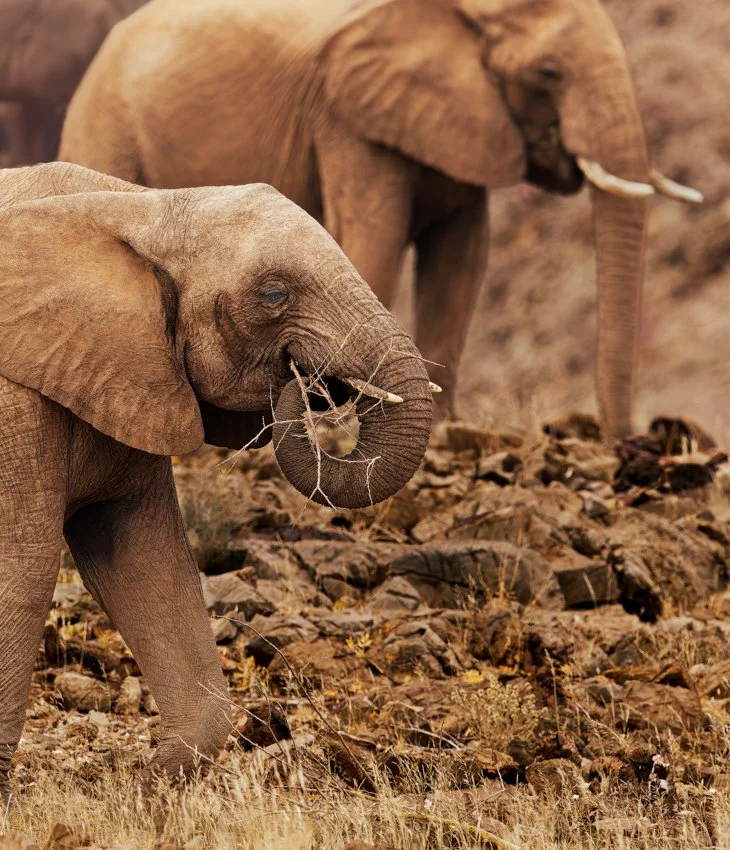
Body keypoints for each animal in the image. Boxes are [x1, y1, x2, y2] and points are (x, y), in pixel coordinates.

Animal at [0, 161, 432, 797]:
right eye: (274, 293)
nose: (305, 381)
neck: (141, 206)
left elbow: (144, 560)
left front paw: (150, 786)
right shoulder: (15, 404)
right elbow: (24, 571)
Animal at [59, 0, 702, 436]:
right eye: (549, 73)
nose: (627, 441)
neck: (463, 12)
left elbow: (461, 259)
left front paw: (442, 426)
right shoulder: (348, 117)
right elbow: (376, 235)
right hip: (104, 115)